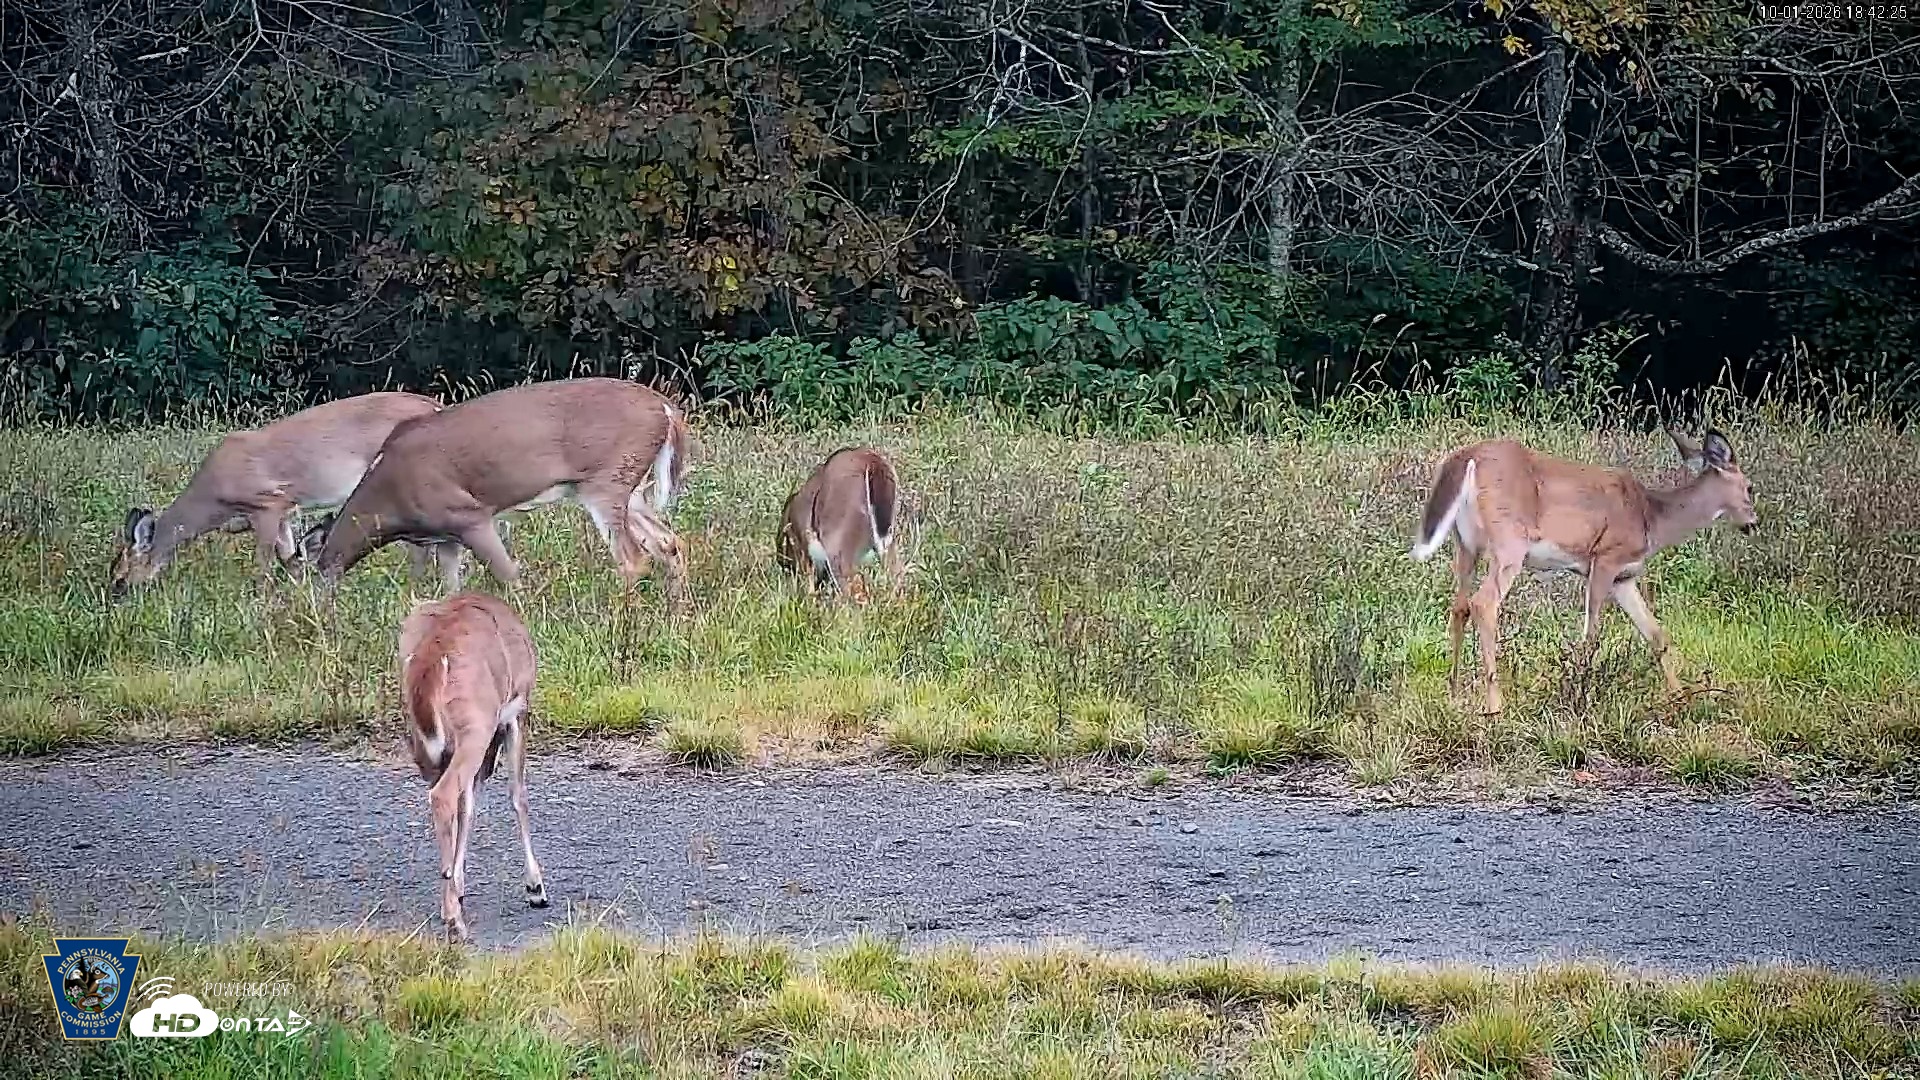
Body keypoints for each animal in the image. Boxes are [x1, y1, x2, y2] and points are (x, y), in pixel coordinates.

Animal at [109, 391, 447, 600]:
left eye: (120, 578)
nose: (114, 601)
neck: (213, 502)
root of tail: (434, 405)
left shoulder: (268, 502)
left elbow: (264, 565)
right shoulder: (286, 512)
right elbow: (292, 559)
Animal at [298, 377, 692, 606]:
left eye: (312, 566)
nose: (312, 611)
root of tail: (666, 409)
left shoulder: (467, 513)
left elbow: (508, 574)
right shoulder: (446, 537)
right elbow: (451, 586)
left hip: (606, 479)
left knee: (632, 558)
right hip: (631, 487)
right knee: (668, 542)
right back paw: (677, 610)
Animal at [397, 591, 546, 943]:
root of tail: (433, 657)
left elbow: (469, 807)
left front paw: (458, 888)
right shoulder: (516, 712)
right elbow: (518, 796)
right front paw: (535, 888)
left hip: (426, 744)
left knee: (451, 798)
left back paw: (449, 904)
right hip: (476, 727)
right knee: (444, 795)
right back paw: (455, 923)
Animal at [1410, 428, 1758, 715]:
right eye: (1751, 487)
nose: (1752, 524)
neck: (1652, 518)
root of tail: (1465, 458)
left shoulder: (1624, 578)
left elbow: (1656, 634)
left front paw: (1681, 698)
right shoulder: (1604, 559)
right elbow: (1591, 636)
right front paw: (1581, 695)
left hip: (1466, 544)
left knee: (1459, 606)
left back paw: (1454, 695)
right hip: (1510, 541)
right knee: (1484, 603)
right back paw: (1495, 706)